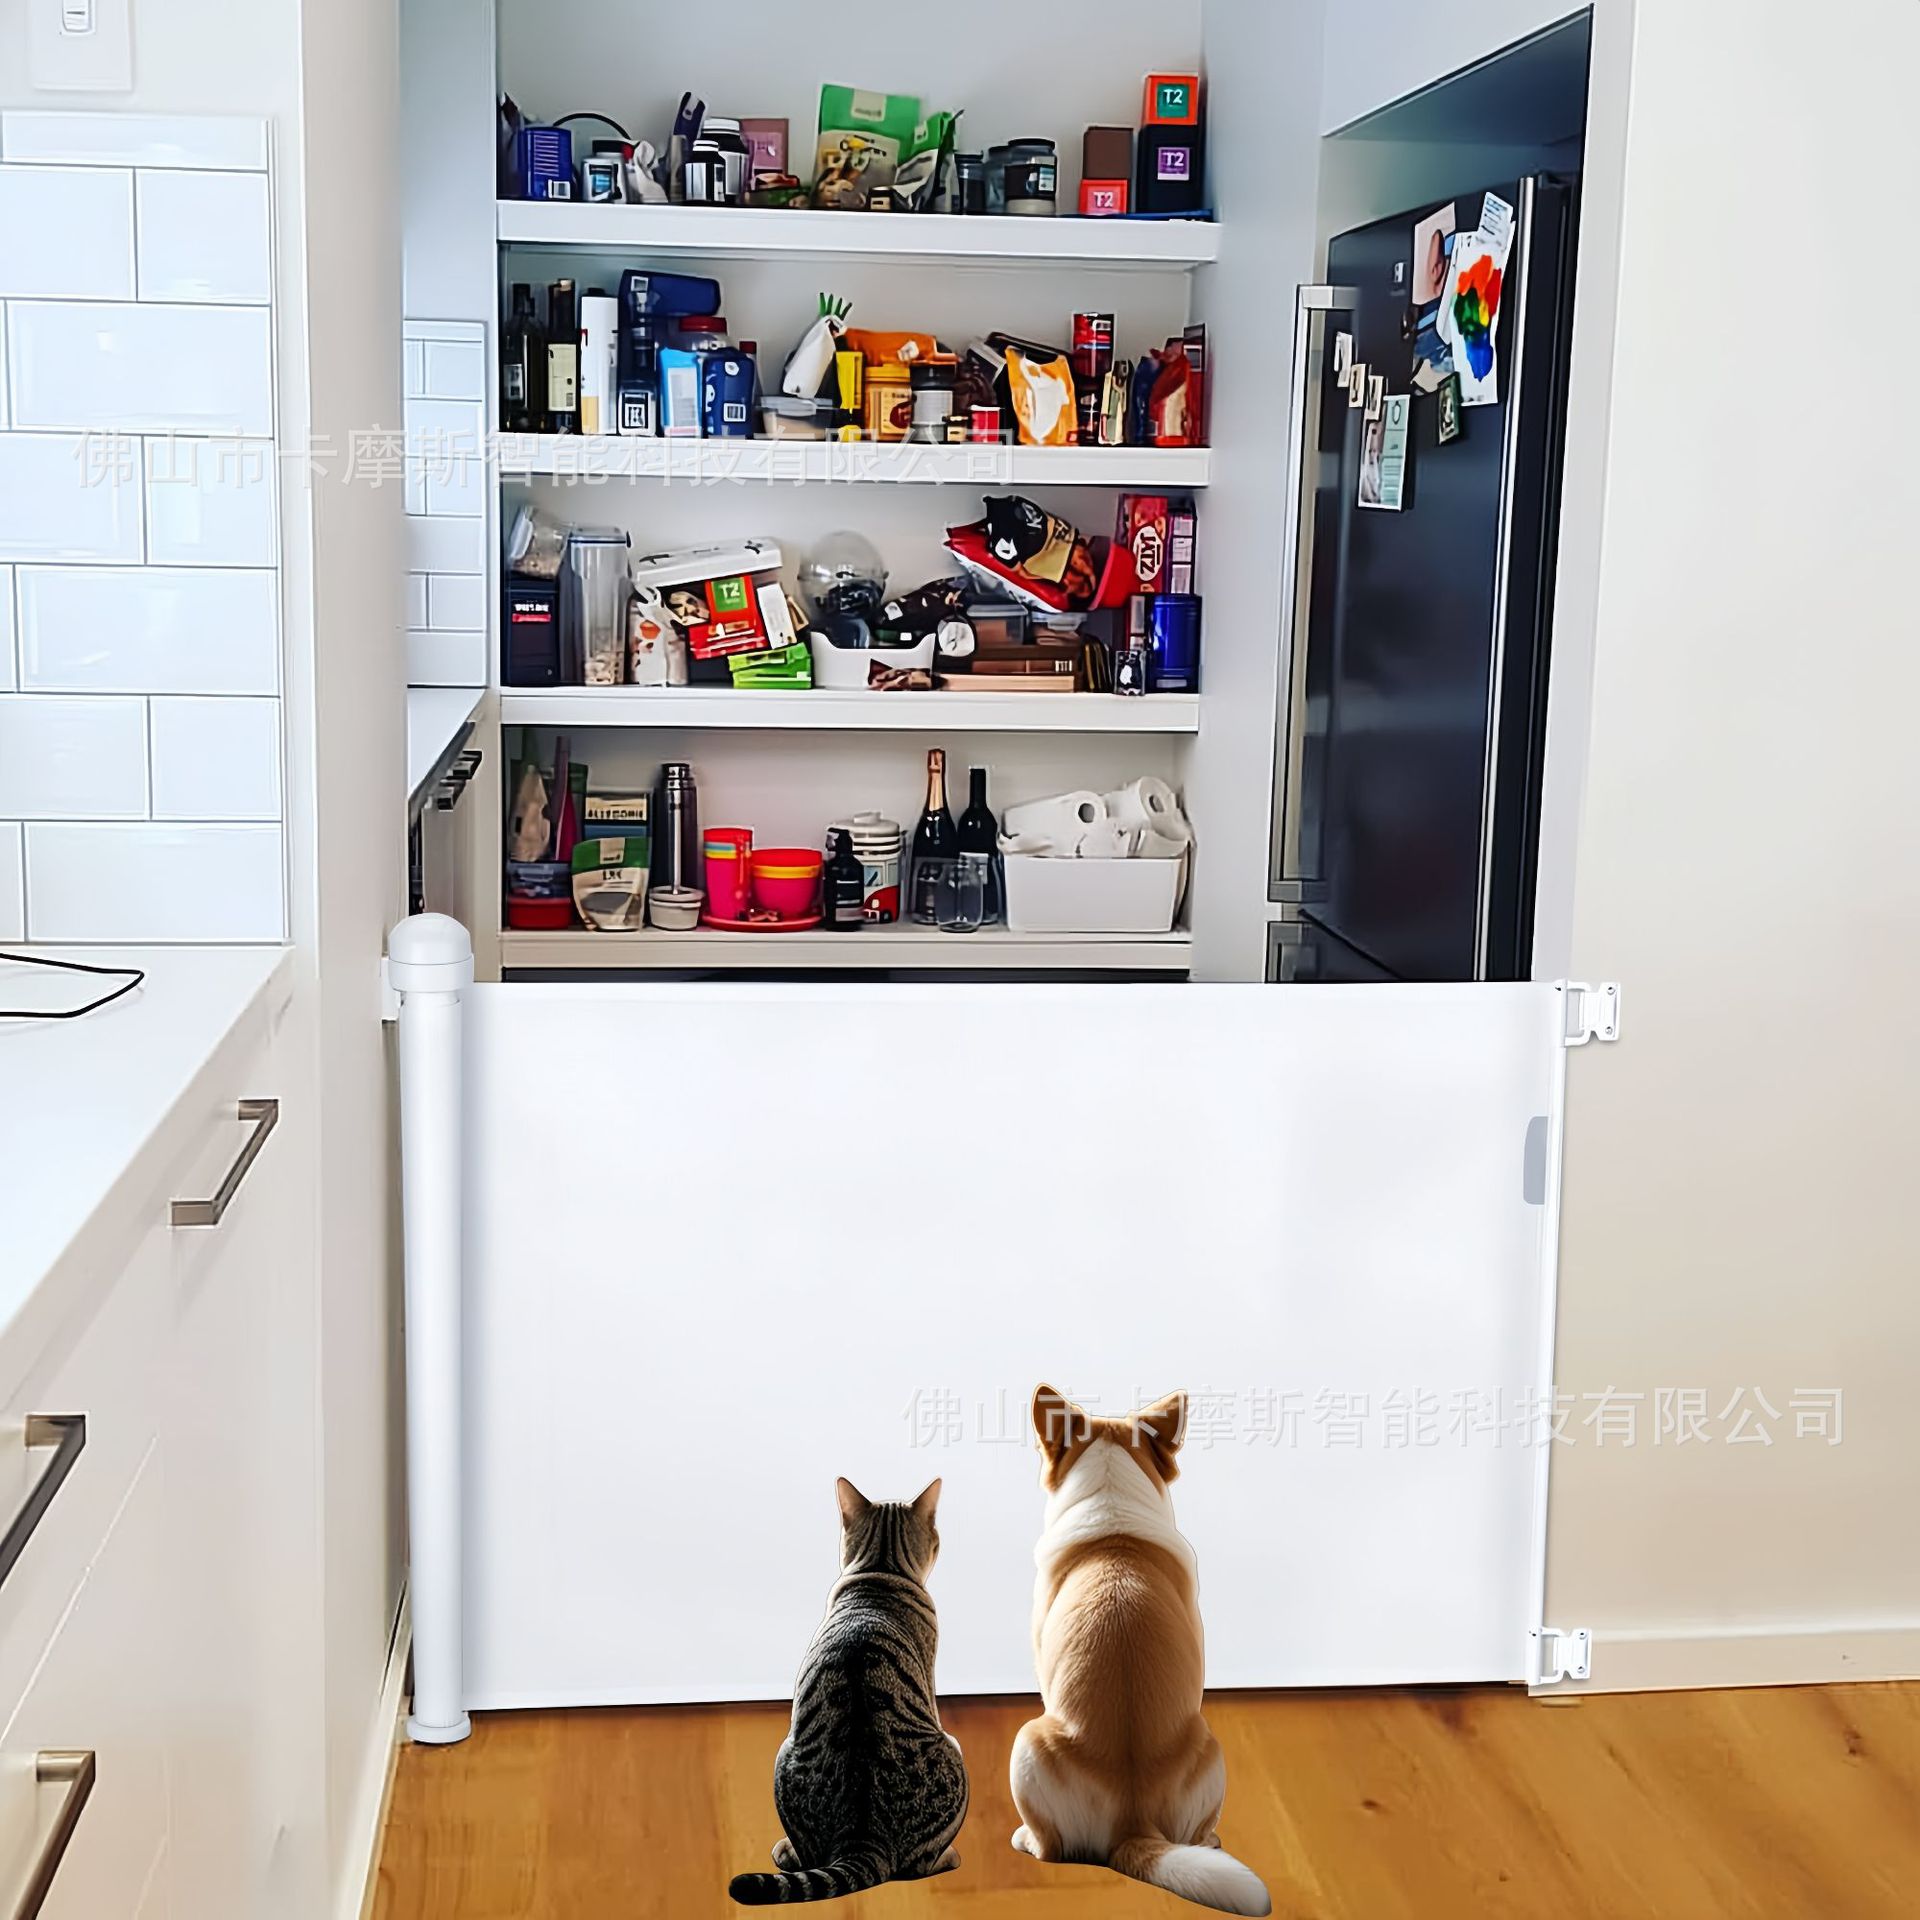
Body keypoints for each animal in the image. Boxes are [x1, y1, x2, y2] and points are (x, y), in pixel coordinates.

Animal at [729, 1478, 969, 1905]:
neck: (880, 1570)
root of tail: (863, 1834)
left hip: (783, 1755)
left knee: (803, 1853)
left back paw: (784, 1848)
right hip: (953, 1749)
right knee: (922, 1864)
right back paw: (951, 1855)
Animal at [1009, 1385, 1271, 1916]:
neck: (1113, 1518)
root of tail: (1132, 1822)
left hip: (1026, 1742)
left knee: (1051, 1849)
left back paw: (1025, 1838)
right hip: (1211, 1749)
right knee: (1197, 1832)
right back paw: (1209, 1843)